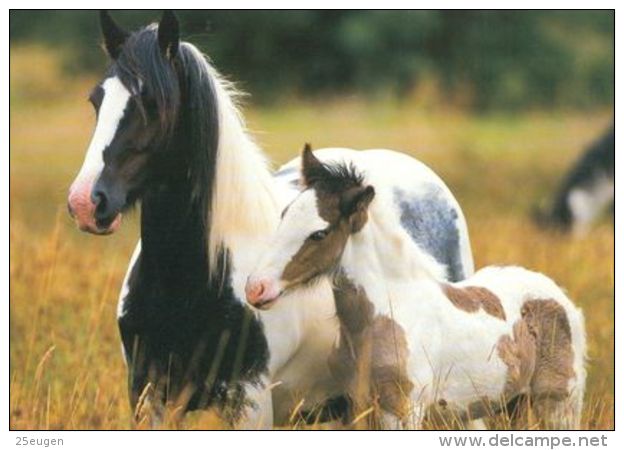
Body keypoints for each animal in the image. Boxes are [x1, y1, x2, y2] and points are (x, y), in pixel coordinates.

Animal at [67, 8, 472, 428]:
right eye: (97, 99)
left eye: (152, 102)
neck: (189, 284)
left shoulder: (250, 403)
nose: (86, 202)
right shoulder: (150, 399)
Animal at [246, 147, 588, 428]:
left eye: (319, 233)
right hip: (514, 404)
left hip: (559, 405)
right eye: (284, 215)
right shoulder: (354, 408)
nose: (256, 288)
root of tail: (561, 297)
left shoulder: (402, 409)